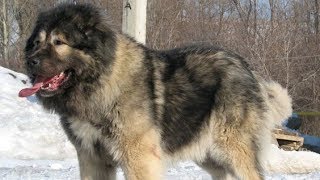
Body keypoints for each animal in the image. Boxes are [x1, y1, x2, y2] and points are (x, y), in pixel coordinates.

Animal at [18, 2, 292, 180]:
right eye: (37, 42)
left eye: (59, 42)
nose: (30, 61)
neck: (100, 81)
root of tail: (248, 69)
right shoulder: (92, 158)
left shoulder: (138, 158)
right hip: (208, 154)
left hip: (233, 149)